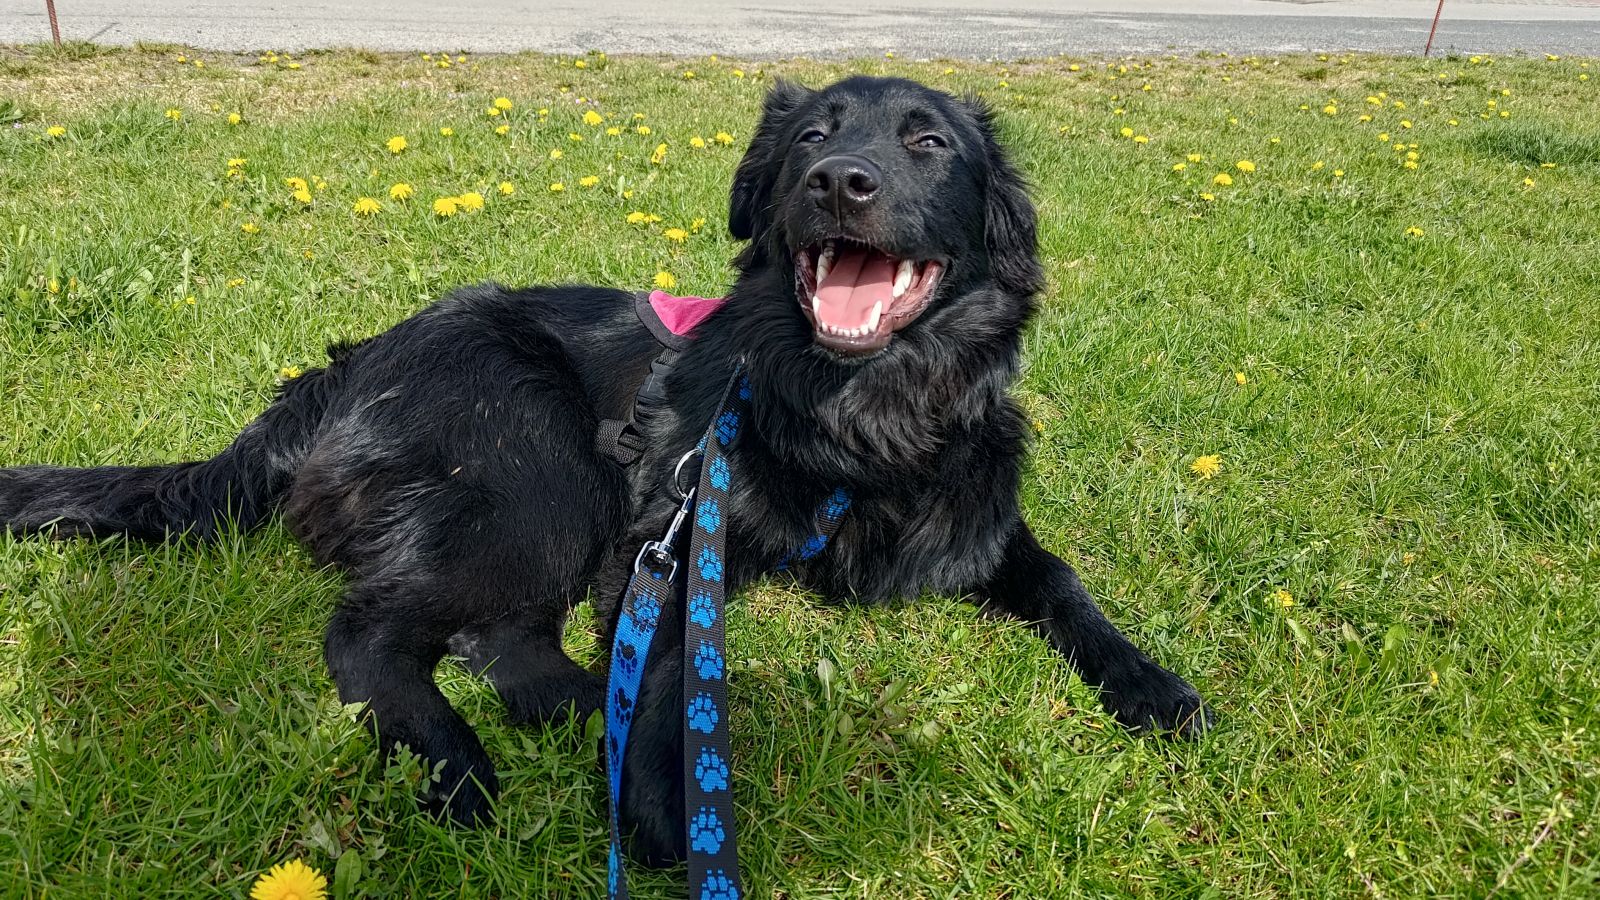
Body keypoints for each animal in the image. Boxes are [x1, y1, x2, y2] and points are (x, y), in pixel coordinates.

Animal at [0, 76, 1209, 863]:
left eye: (928, 143)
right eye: (813, 133)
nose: (838, 179)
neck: (853, 419)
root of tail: (338, 372)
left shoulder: (975, 516)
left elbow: (1063, 583)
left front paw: (1151, 684)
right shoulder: (665, 525)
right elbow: (672, 652)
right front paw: (673, 801)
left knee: (501, 640)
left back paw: (587, 711)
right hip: (536, 467)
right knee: (372, 634)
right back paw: (461, 766)